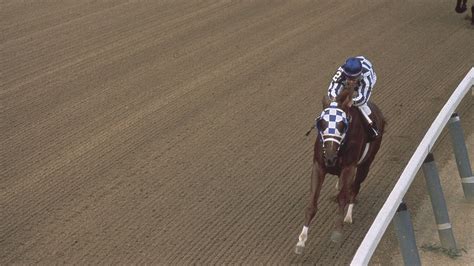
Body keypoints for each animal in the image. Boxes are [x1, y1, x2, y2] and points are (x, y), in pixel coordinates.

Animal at [296, 86, 386, 255]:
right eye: (321, 123)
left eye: (342, 125)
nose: (330, 157)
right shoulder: (318, 166)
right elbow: (312, 204)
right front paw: (301, 241)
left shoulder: (349, 168)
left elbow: (343, 198)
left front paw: (337, 231)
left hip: (365, 164)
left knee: (355, 188)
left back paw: (348, 215)